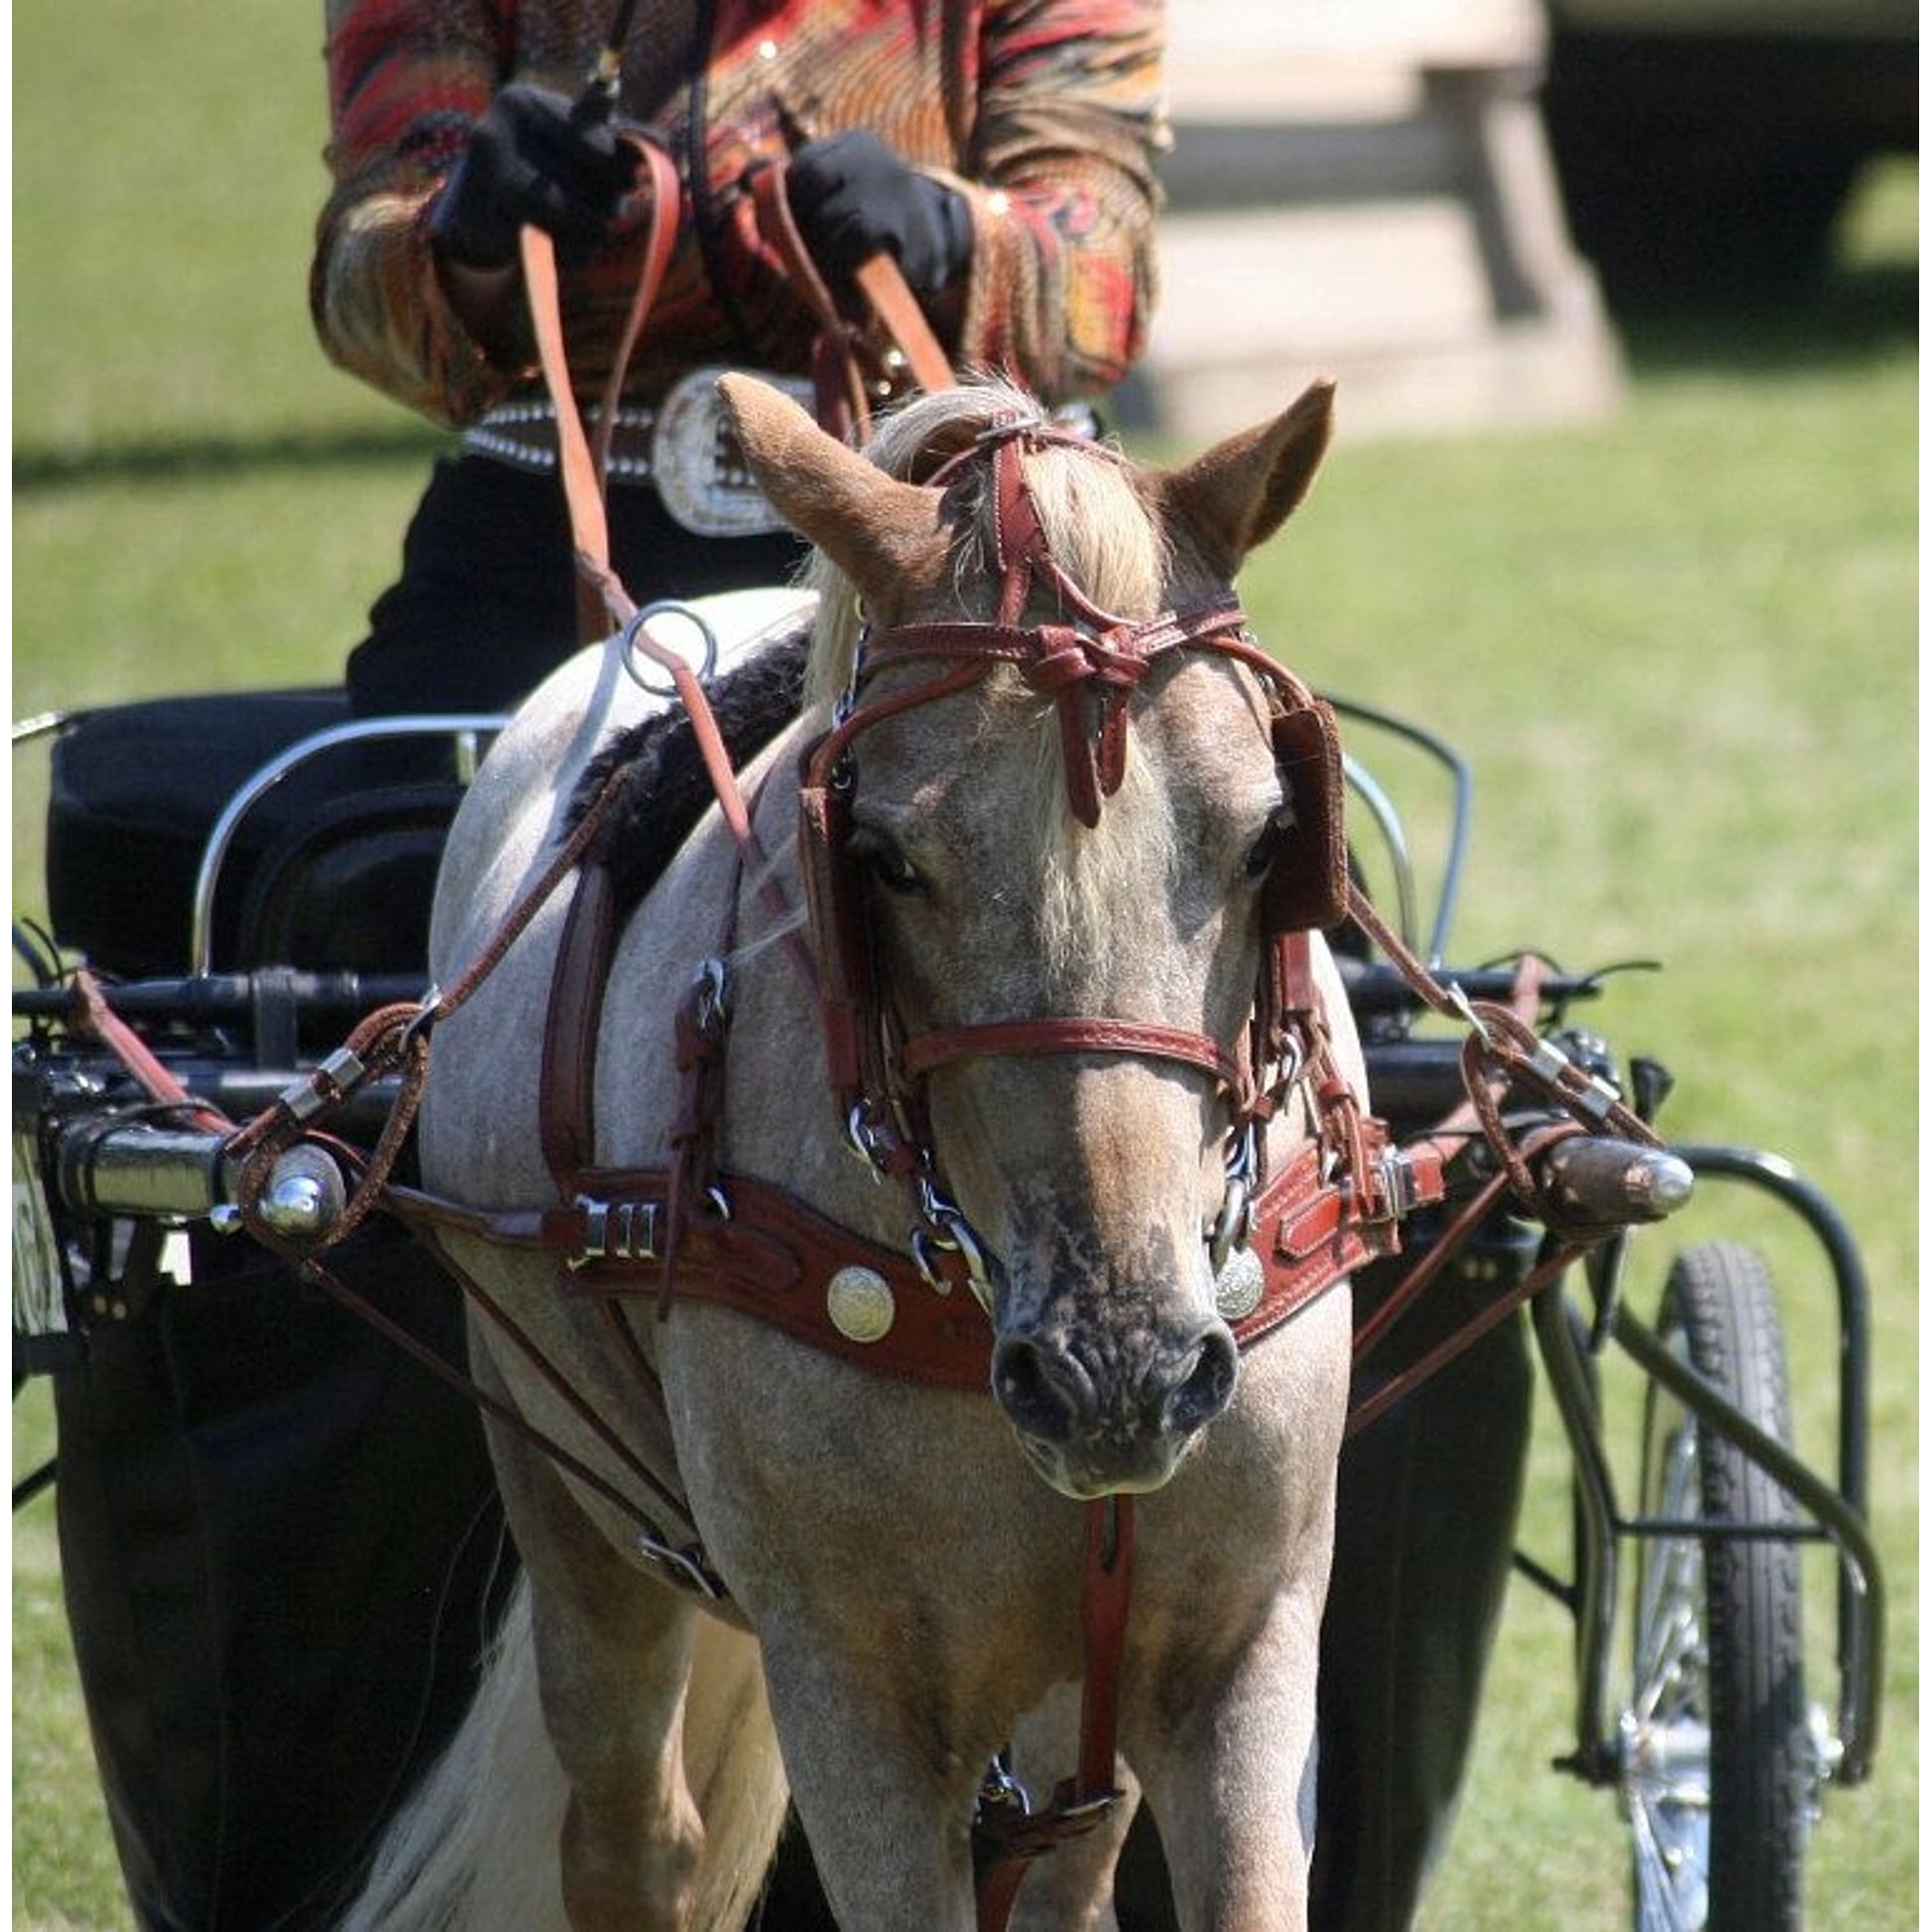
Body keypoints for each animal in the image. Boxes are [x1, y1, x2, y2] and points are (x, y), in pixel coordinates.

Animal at [346, 369, 1387, 1932]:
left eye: (1271, 836)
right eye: (886, 858)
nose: (1117, 1372)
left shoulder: (1240, 1655)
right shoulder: (854, 1703)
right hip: (566, 1497)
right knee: (629, 1832)